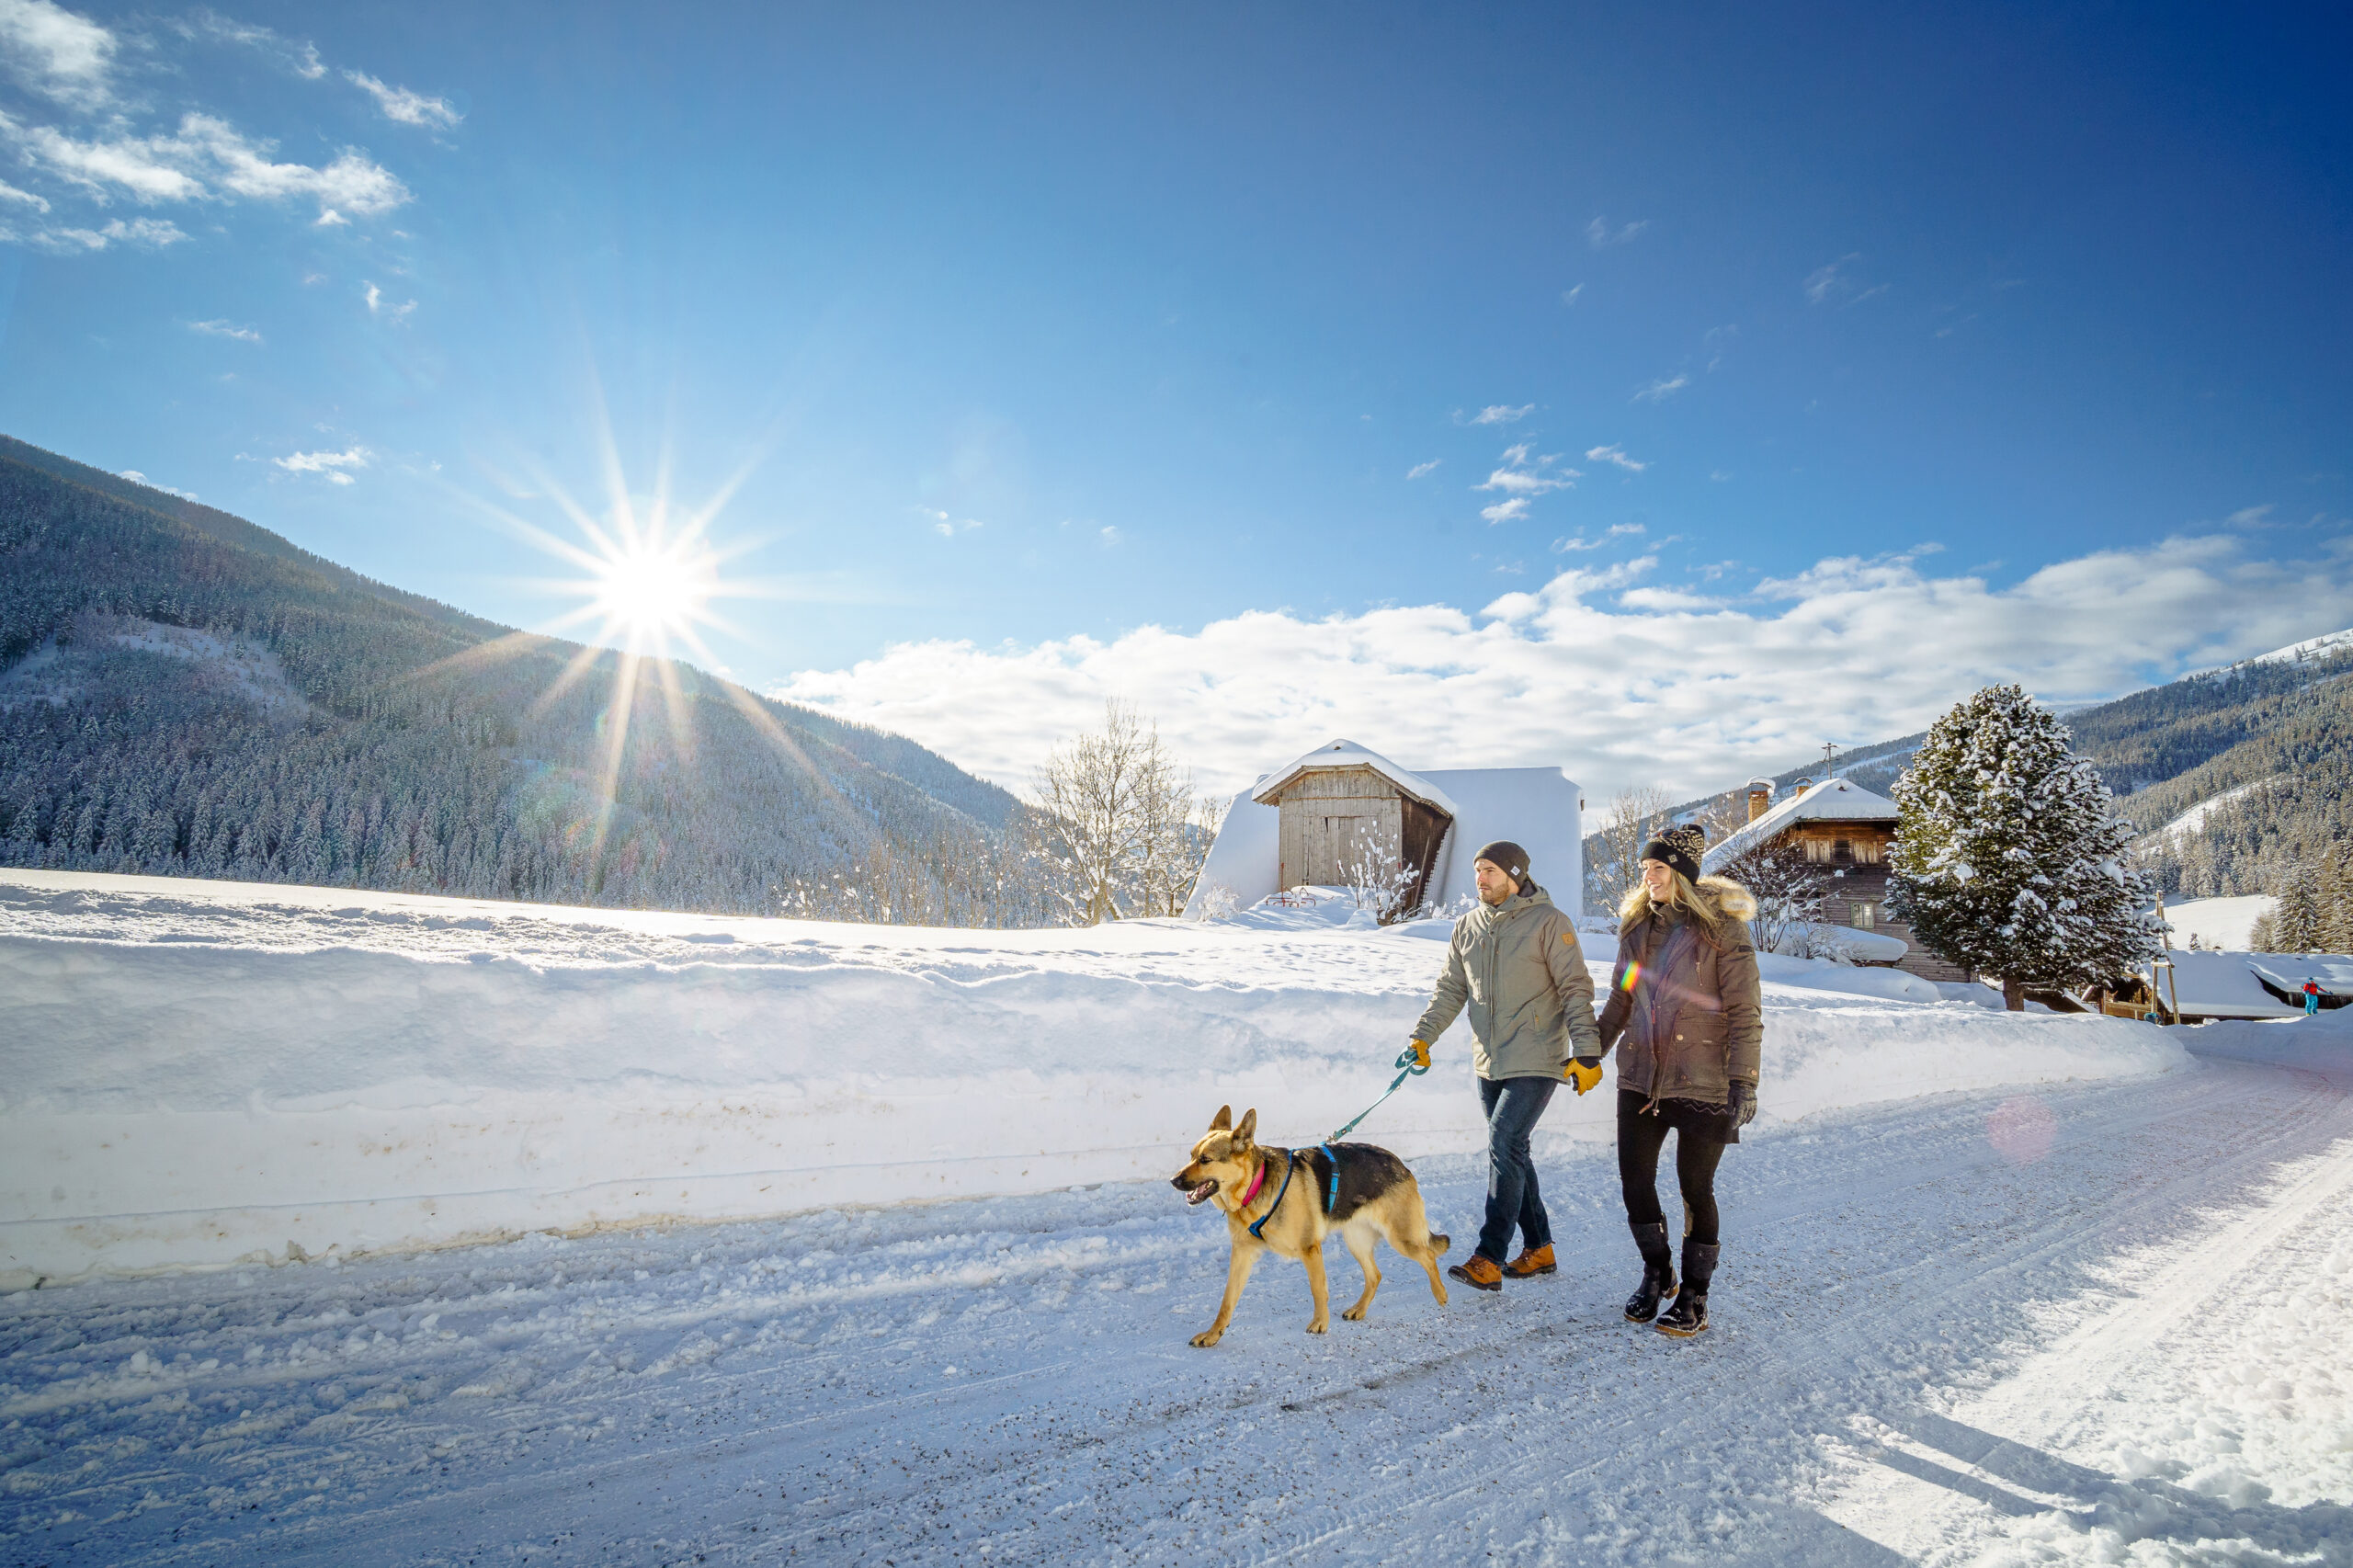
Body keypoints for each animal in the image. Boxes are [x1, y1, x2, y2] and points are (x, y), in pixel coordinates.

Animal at [1162, 1096, 1439, 1346]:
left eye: (1205, 1160)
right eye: (1191, 1155)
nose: (1173, 1181)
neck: (1254, 1186)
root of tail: (1400, 1163)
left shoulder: (1309, 1249)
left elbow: (1318, 1288)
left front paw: (1320, 1323)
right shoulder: (1242, 1254)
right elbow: (1227, 1300)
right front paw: (1213, 1334)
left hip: (1401, 1238)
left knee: (1428, 1256)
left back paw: (1442, 1297)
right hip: (1356, 1240)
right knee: (1376, 1275)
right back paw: (1359, 1309)